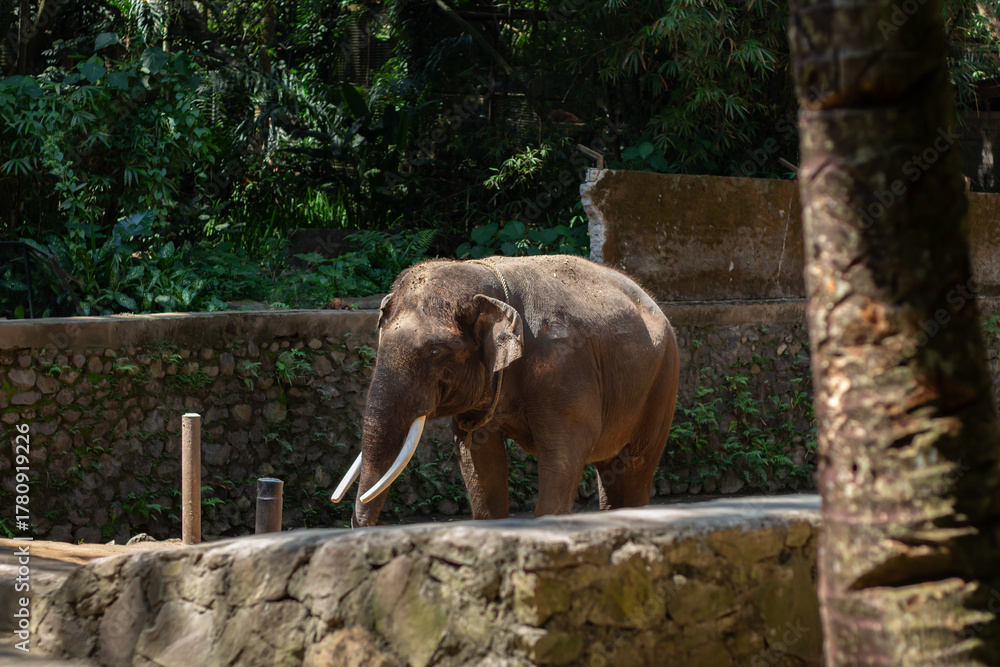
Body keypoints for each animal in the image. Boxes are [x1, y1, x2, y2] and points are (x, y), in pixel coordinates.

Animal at [331, 255, 680, 527]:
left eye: (435, 351)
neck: (491, 290)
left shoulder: (563, 365)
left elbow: (566, 451)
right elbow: (477, 456)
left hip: (663, 380)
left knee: (635, 464)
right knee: (611, 465)